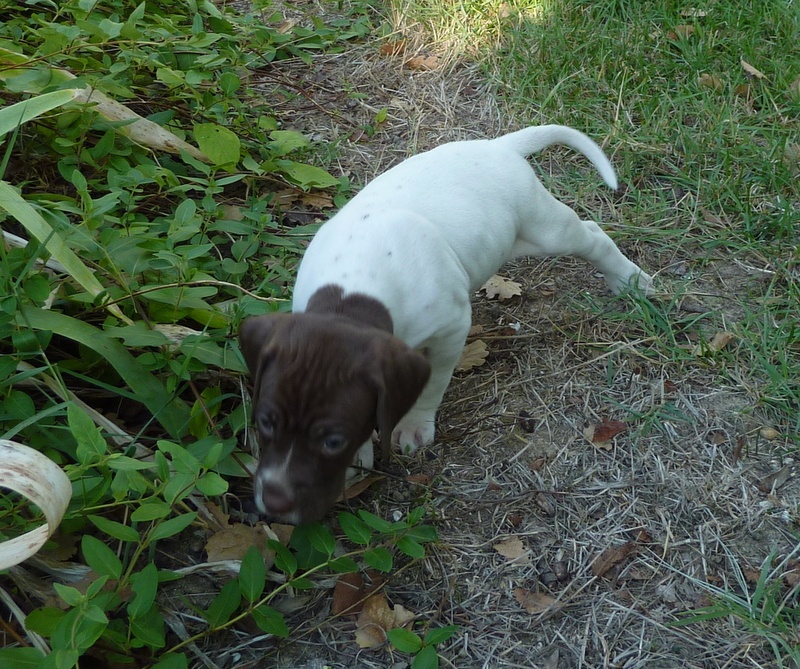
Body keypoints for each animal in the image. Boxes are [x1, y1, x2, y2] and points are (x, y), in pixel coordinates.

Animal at [240, 124, 653, 523]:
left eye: (333, 441)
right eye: (265, 422)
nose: (273, 501)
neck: (350, 294)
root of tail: (497, 147)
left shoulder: (452, 327)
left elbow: (432, 383)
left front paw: (414, 424)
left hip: (545, 228)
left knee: (592, 236)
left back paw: (631, 280)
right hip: (514, 240)